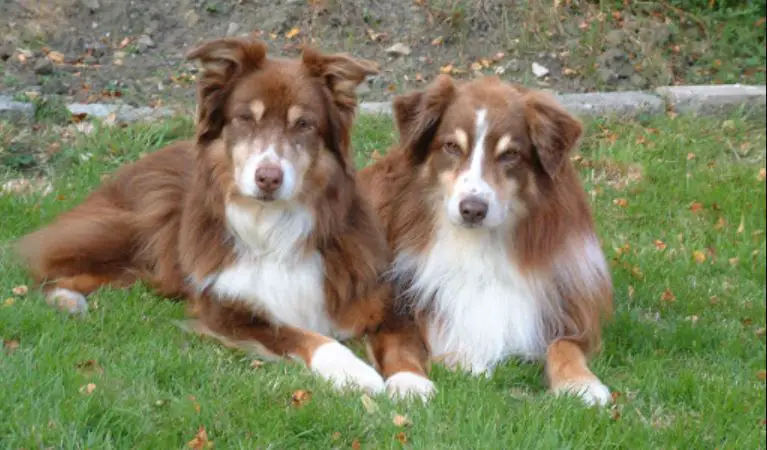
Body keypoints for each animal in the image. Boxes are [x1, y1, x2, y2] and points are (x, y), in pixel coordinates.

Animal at [15, 37, 400, 394]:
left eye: (304, 124)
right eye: (245, 118)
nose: (268, 178)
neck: (271, 228)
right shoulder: (227, 310)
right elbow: (302, 335)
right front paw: (355, 371)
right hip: (127, 230)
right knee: (44, 266)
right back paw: (65, 300)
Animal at [356, 75, 616, 406]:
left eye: (510, 154)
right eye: (452, 146)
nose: (472, 210)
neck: (478, 245)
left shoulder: (565, 309)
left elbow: (564, 345)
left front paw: (581, 382)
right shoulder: (393, 309)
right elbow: (398, 345)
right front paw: (410, 381)